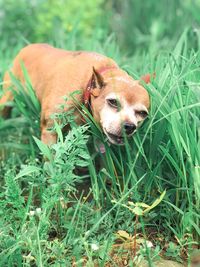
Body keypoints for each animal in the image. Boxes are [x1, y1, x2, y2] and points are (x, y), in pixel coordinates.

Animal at [0, 44, 150, 146]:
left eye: (142, 113)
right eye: (113, 102)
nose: (129, 126)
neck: (87, 84)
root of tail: (28, 47)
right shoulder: (50, 131)